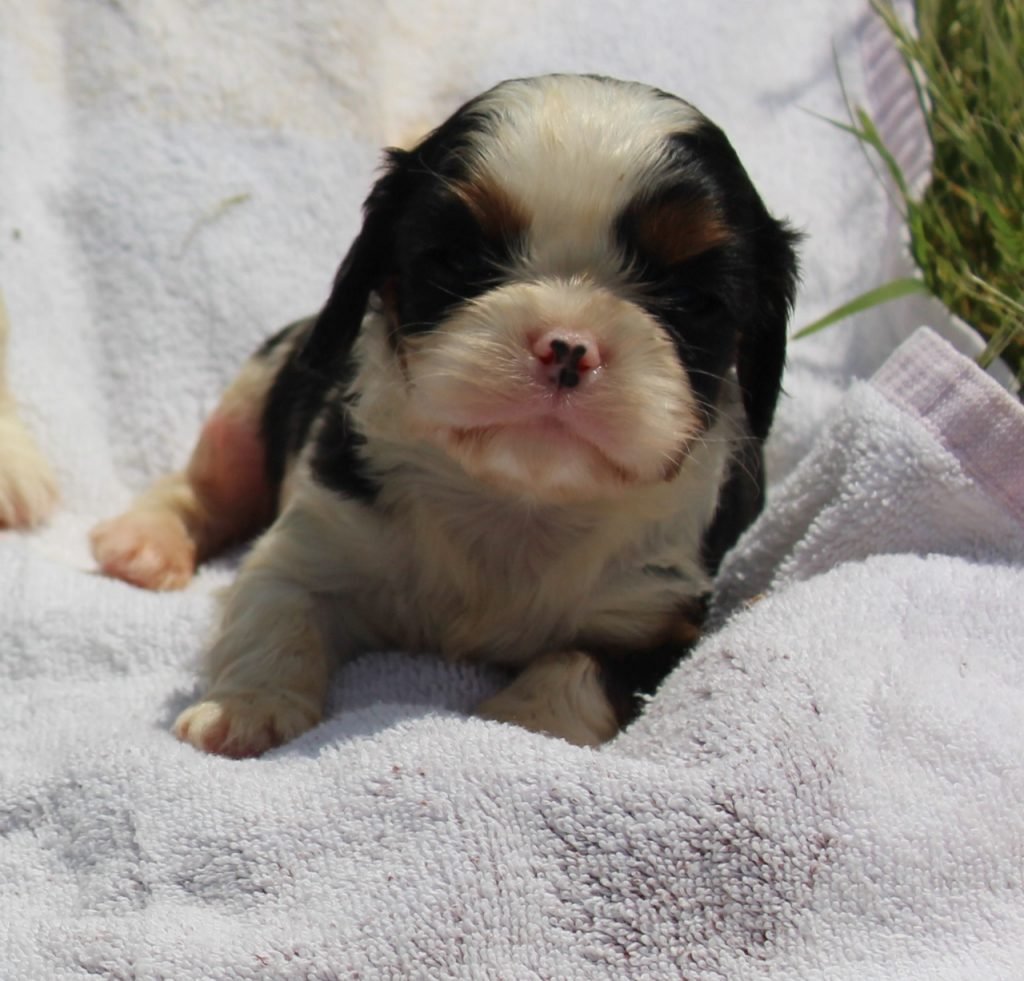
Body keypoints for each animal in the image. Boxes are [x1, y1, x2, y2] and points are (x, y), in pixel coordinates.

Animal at [92, 74, 798, 753]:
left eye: (693, 299)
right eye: (459, 259)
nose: (568, 346)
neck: (518, 500)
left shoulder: (659, 616)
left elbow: (583, 669)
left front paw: (523, 722)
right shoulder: (315, 540)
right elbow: (275, 608)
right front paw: (248, 707)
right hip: (252, 399)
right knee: (201, 484)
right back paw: (143, 545)